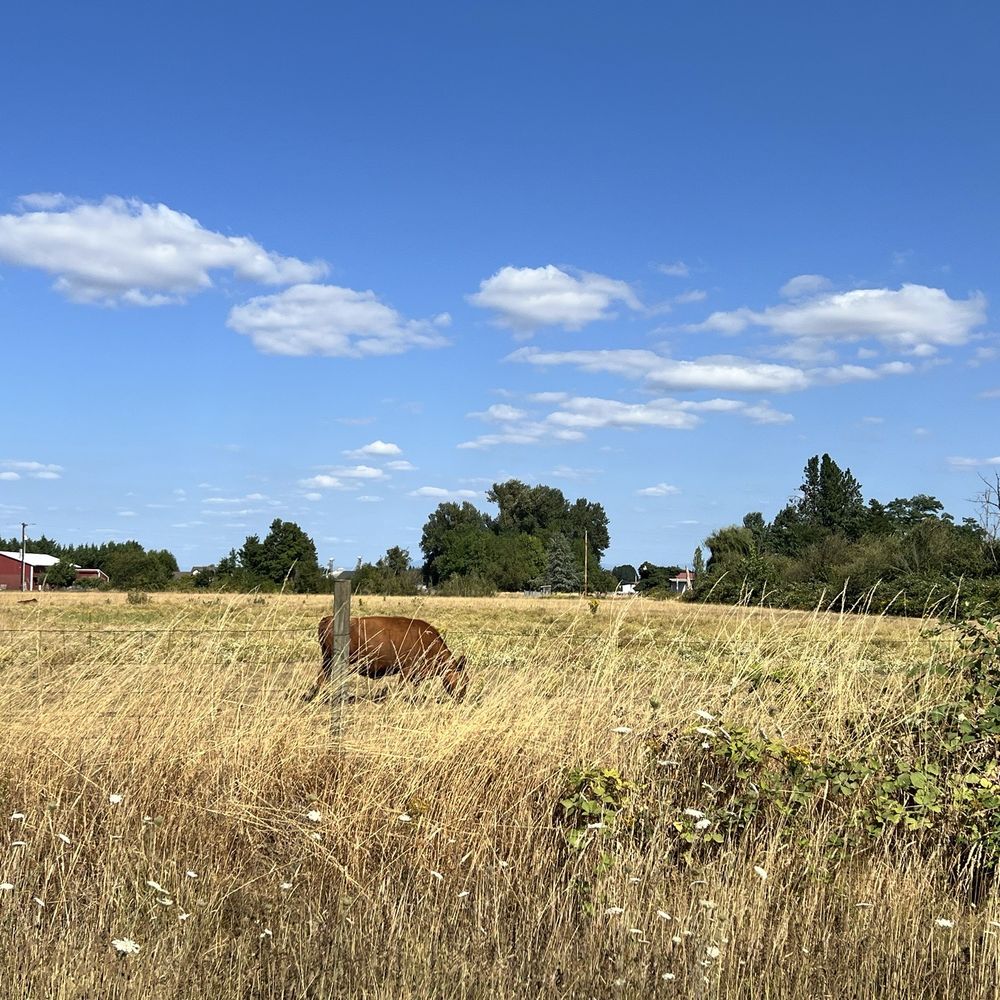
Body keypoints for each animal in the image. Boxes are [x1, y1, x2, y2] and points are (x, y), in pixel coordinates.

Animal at [303, 615, 468, 703]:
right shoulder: (406, 669)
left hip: (328, 661)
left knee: (321, 677)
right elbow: (401, 687)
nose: (462, 698)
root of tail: (328, 619)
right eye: (464, 680)